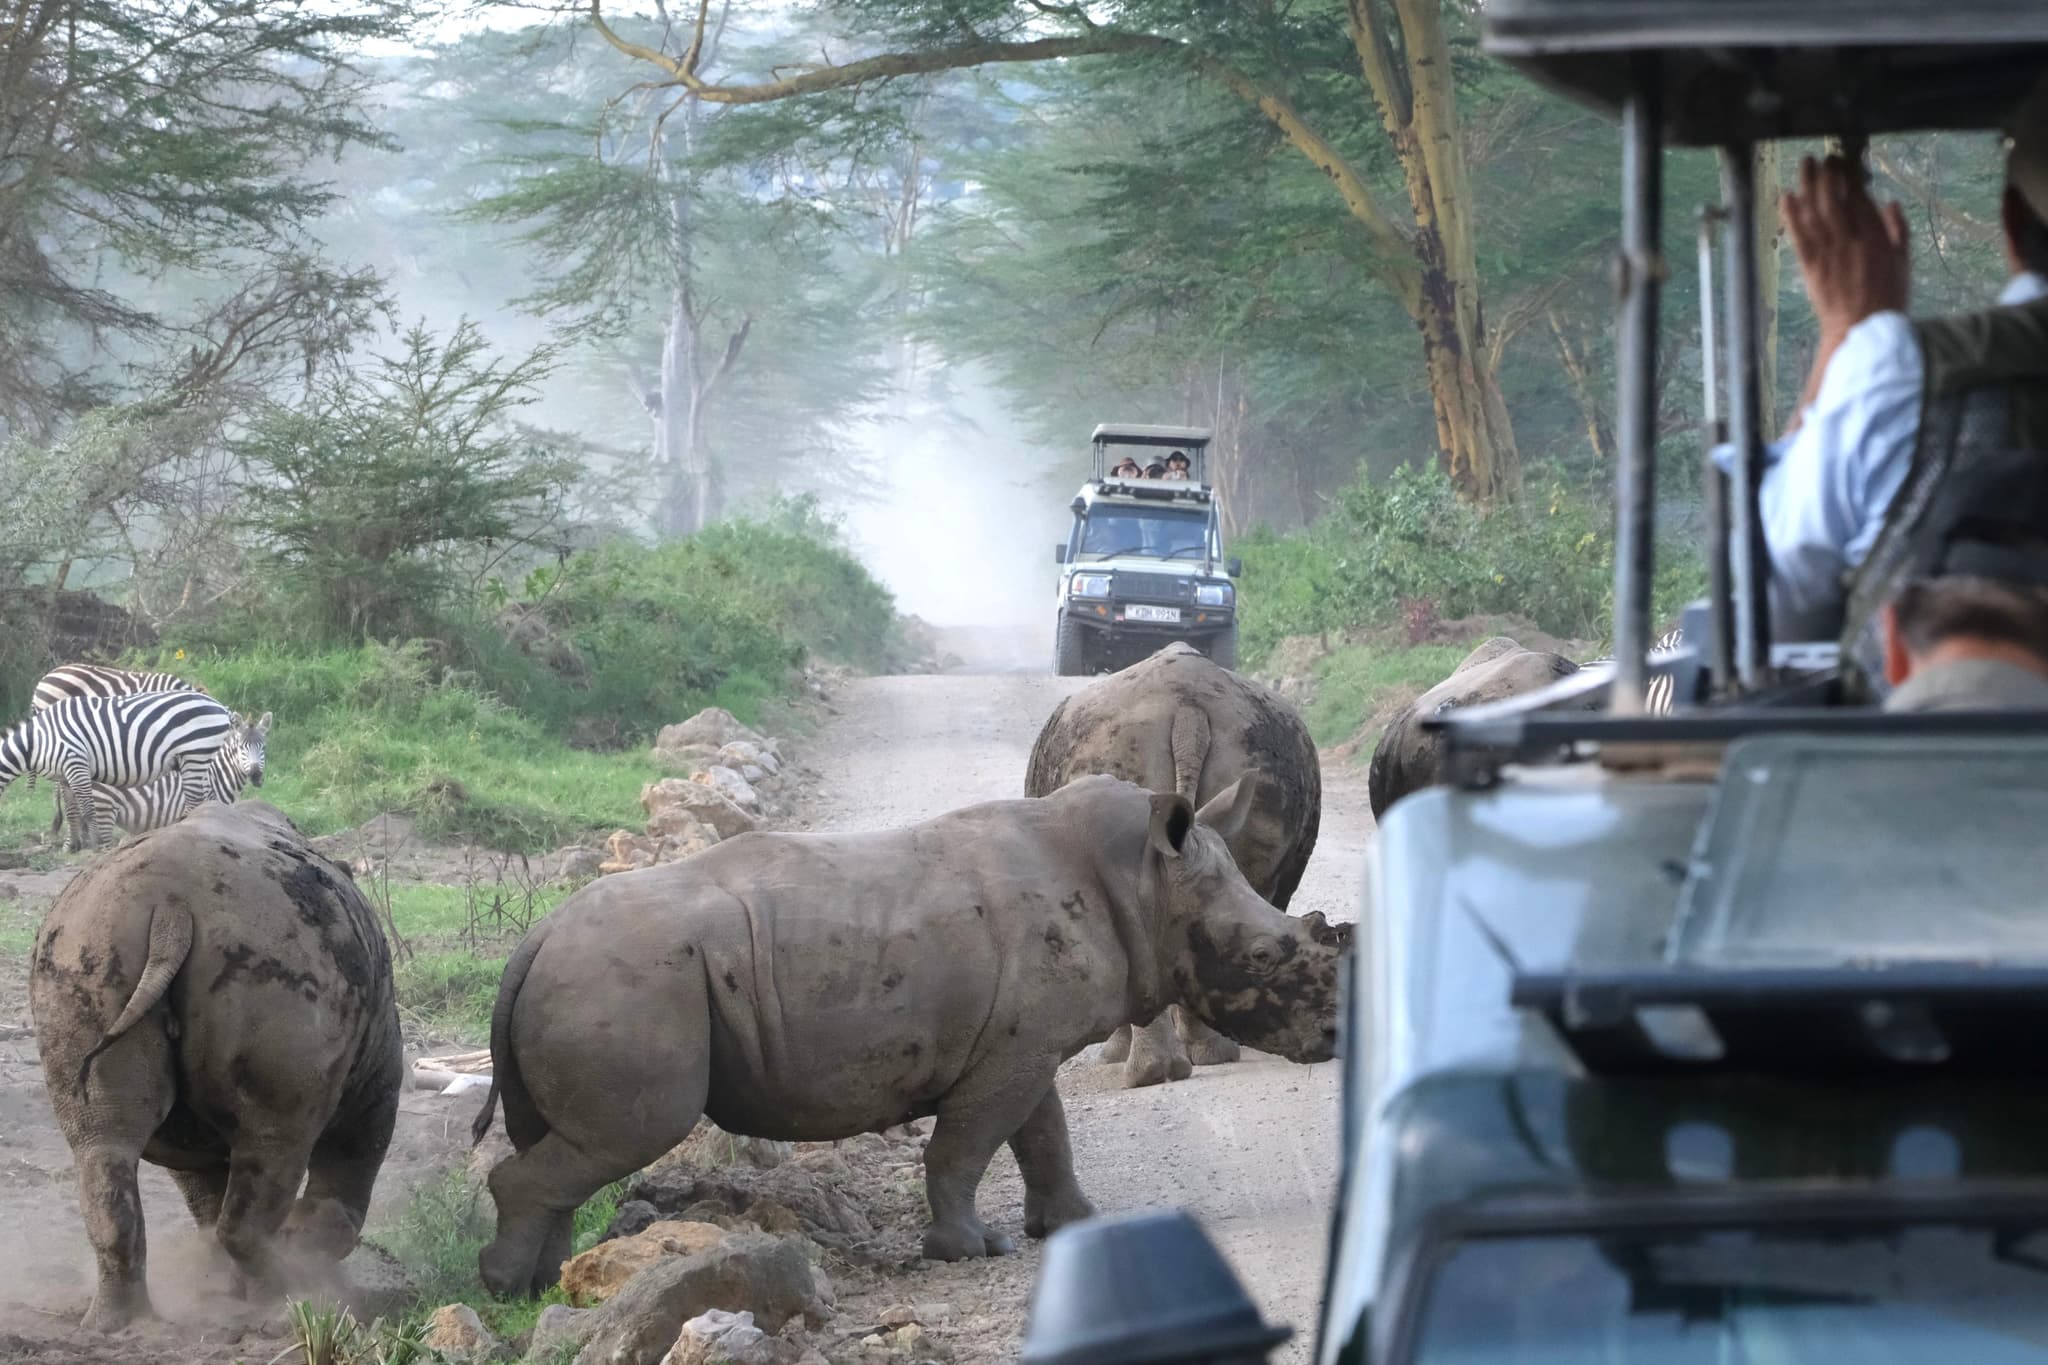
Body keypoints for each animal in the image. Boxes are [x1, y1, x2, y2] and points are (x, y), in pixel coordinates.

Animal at [0, 691, 235, 851]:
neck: (37, 741)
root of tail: (220, 706)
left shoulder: (75, 763)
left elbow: (88, 810)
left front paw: (98, 846)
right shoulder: (64, 776)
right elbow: (72, 810)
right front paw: (72, 845)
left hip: (195, 754)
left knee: (196, 802)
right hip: (197, 760)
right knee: (208, 798)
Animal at [30, 802, 402, 1331]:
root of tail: (170, 908)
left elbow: (202, 1184)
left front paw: (221, 1282)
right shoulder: (378, 1075)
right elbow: (354, 1154)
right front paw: (310, 1253)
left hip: (87, 945)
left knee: (102, 1145)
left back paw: (119, 1324)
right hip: (279, 969)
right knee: (277, 1142)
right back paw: (282, 1299)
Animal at [472, 774, 1343, 1295]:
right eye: (1266, 956)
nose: (1336, 1032)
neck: (1146, 879)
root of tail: (531, 942)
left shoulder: (1024, 1042)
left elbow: (1043, 1132)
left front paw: (1070, 1224)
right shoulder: (1015, 1049)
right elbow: (969, 1144)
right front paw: (971, 1249)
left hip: (590, 979)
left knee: (572, 1144)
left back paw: (548, 1284)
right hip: (626, 983)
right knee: (632, 1132)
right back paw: (507, 1286)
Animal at [1025, 642, 1334, 1087]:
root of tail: (1188, 712)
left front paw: (1113, 1054)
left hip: (1120, 748)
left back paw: (1169, 1067)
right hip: (1246, 759)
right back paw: (1191, 1060)